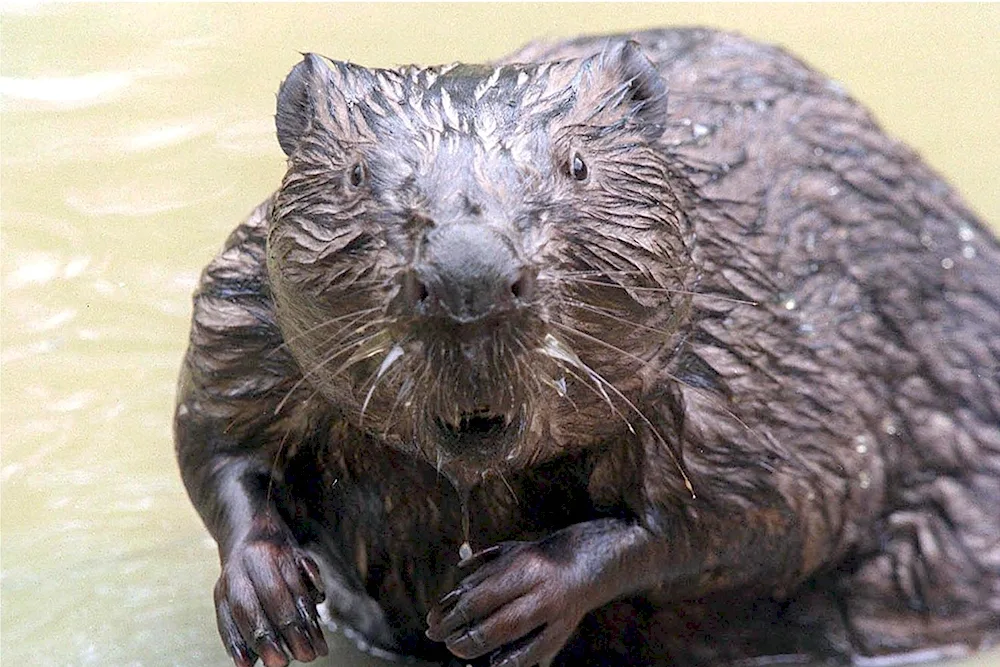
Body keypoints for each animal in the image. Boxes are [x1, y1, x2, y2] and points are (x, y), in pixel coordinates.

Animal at [175, 28, 1000, 667]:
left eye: (577, 165)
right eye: (352, 174)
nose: (469, 276)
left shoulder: (756, 351)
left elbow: (775, 509)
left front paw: (511, 597)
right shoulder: (246, 315)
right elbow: (210, 433)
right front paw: (267, 598)